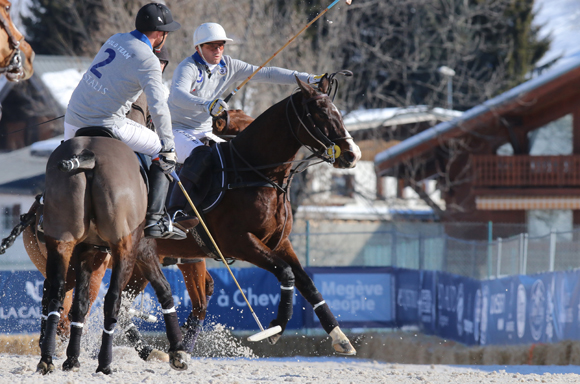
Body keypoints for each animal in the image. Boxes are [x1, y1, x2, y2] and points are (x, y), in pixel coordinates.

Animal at [36, 136, 187, 374]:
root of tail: (87, 158)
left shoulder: (87, 251)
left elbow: (80, 304)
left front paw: (72, 358)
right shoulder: (142, 248)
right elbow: (164, 288)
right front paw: (178, 349)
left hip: (62, 242)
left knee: (55, 293)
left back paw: (47, 358)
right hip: (123, 247)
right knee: (113, 299)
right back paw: (105, 363)